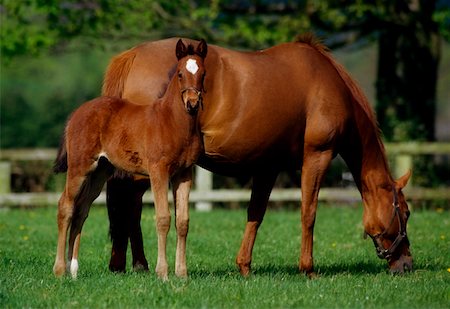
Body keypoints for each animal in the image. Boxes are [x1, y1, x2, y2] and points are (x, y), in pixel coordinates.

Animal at [52, 39, 207, 280]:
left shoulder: (184, 173)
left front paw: (182, 273)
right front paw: (162, 273)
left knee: (81, 210)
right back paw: (59, 270)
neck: (171, 120)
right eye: (180, 74)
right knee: (65, 207)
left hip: (100, 171)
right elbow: (163, 219)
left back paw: (74, 269)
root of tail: (77, 113)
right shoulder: (158, 171)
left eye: (203, 73)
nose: (192, 103)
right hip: (80, 167)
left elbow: (183, 221)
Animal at [103, 33, 414, 274]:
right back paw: (135, 264)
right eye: (406, 212)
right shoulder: (317, 156)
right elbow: (308, 212)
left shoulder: (268, 166)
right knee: (129, 203)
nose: (407, 265)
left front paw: (244, 266)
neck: (327, 83)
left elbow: (256, 213)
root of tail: (133, 55)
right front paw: (308, 268)